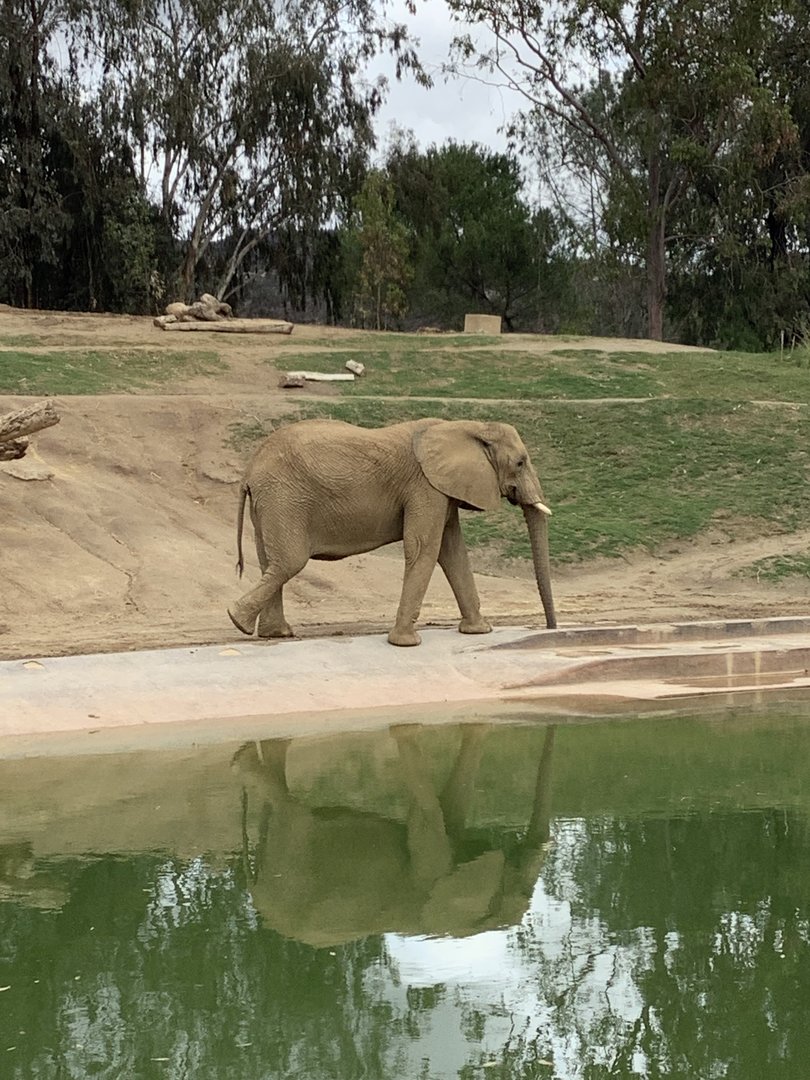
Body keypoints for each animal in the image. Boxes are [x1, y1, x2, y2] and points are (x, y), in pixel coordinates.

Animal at [227, 417, 556, 647]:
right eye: (520, 463)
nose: (552, 628)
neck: (468, 427)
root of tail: (249, 471)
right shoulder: (424, 486)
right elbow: (425, 548)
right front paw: (406, 644)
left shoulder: (441, 490)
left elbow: (452, 552)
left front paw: (479, 632)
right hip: (284, 499)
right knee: (289, 562)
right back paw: (237, 621)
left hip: (272, 502)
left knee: (272, 563)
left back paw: (274, 633)